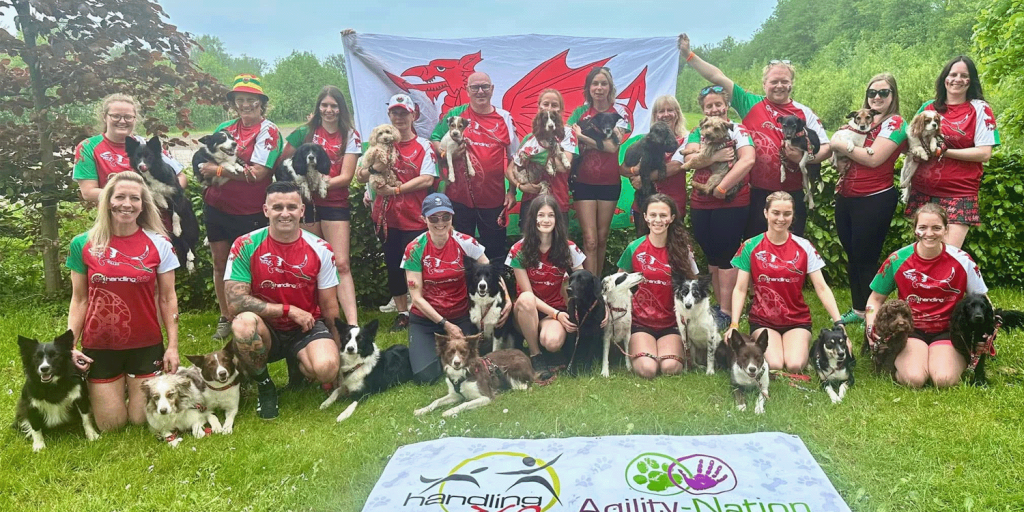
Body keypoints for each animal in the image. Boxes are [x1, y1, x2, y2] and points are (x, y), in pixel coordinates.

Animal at [125, 135, 199, 272]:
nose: (141, 167)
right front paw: (162, 201)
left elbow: (175, 213)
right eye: (137, 157)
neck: (152, 172)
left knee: (187, 241)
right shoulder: (146, 188)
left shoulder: (176, 192)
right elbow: (153, 192)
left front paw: (176, 228)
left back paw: (190, 259)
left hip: (189, 226)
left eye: (149, 156)